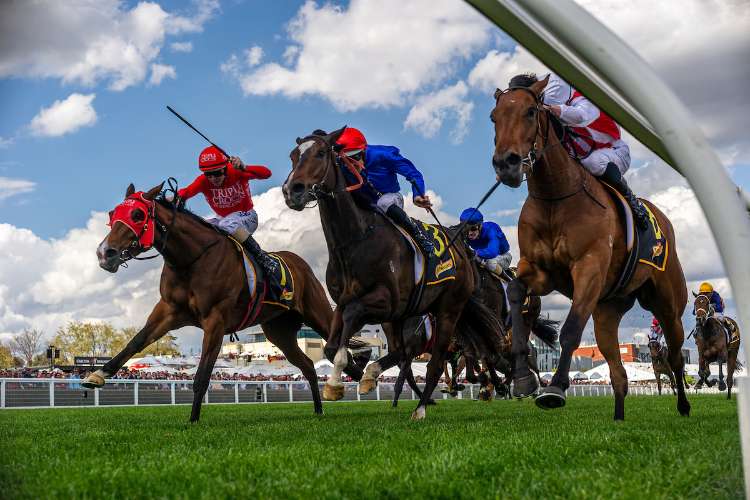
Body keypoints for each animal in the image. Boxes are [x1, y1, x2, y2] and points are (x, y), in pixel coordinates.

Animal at [84, 182, 365, 422]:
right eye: (112, 214)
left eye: (137, 215)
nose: (104, 253)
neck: (191, 260)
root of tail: (299, 263)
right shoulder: (168, 311)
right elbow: (136, 342)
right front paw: (97, 374)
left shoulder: (215, 320)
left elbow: (202, 375)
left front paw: (193, 421)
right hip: (279, 332)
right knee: (308, 365)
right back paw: (320, 408)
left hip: (316, 311)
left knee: (333, 345)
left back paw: (359, 370)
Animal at [283, 127, 504, 420]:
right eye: (293, 156)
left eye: (320, 153)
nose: (291, 190)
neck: (355, 241)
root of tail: (463, 254)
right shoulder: (343, 301)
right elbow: (331, 345)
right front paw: (354, 371)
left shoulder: (385, 301)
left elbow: (353, 317)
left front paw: (337, 381)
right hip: (403, 316)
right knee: (402, 351)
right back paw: (373, 375)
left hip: (448, 309)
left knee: (434, 364)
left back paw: (420, 408)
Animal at [490, 76, 690, 420]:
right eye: (494, 117)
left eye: (530, 111)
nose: (506, 164)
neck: (555, 196)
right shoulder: (539, 270)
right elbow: (516, 291)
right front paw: (523, 378)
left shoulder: (589, 266)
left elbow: (571, 329)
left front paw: (555, 388)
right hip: (607, 311)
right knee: (618, 373)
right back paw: (619, 417)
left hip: (667, 303)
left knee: (676, 355)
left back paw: (684, 405)